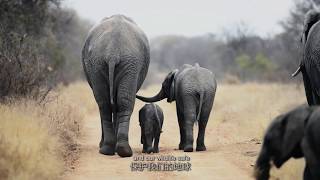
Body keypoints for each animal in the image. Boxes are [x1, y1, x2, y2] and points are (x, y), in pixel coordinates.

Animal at [81, 14, 149, 157]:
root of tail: (113, 52)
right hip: (112, 63)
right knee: (115, 103)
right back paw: (118, 150)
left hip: (108, 63)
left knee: (107, 103)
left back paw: (111, 149)